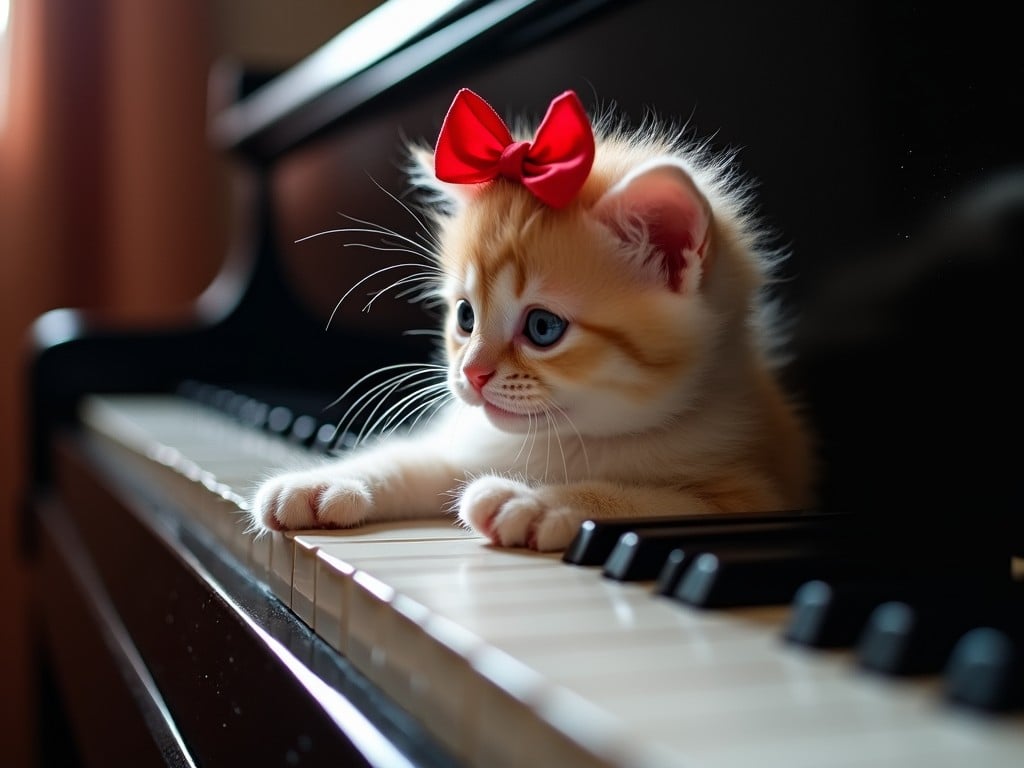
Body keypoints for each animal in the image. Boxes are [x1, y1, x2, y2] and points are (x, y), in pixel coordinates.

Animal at [247, 88, 815, 552]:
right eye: (466, 316)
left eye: (543, 328)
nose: (471, 374)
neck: (568, 440)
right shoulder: (466, 442)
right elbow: (412, 463)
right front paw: (322, 483)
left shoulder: (756, 497)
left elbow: (650, 502)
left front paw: (536, 503)